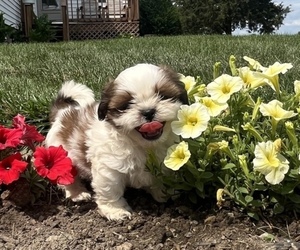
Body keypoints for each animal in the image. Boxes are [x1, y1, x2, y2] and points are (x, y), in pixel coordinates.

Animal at [45, 63, 188, 220]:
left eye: (163, 96)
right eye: (127, 105)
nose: (148, 111)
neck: (141, 145)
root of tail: (62, 113)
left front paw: (164, 193)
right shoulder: (108, 168)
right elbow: (110, 189)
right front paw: (116, 210)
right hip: (61, 155)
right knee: (67, 176)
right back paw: (77, 193)